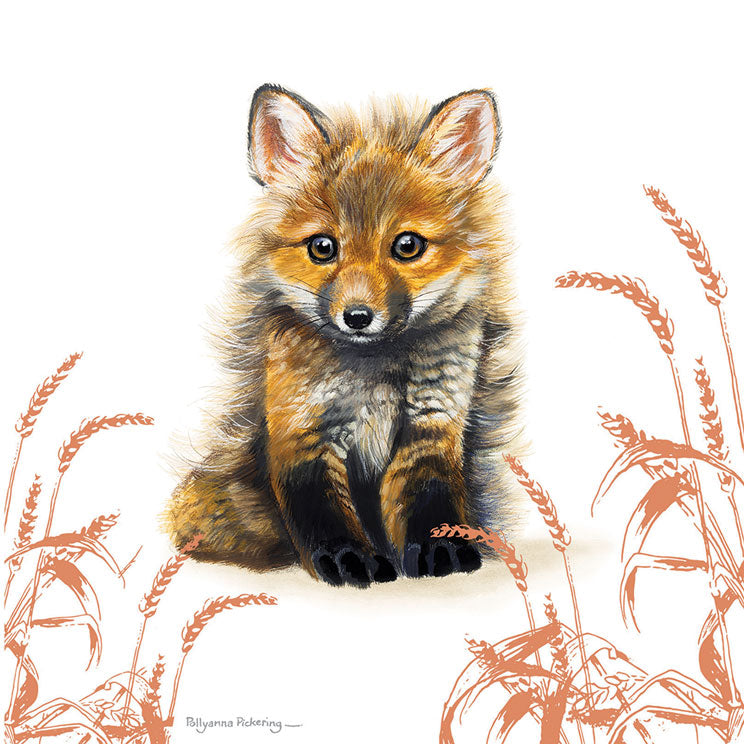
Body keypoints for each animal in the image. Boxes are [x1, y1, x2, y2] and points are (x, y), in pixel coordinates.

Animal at [165, 83, 523, 587]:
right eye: (322, 247)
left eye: (407, 246)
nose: (357, 316)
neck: (375, 374)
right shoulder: (301, 432)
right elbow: (324, 513)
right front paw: (346, 559)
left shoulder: (432, 428)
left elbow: (430, 504)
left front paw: (444, 550)